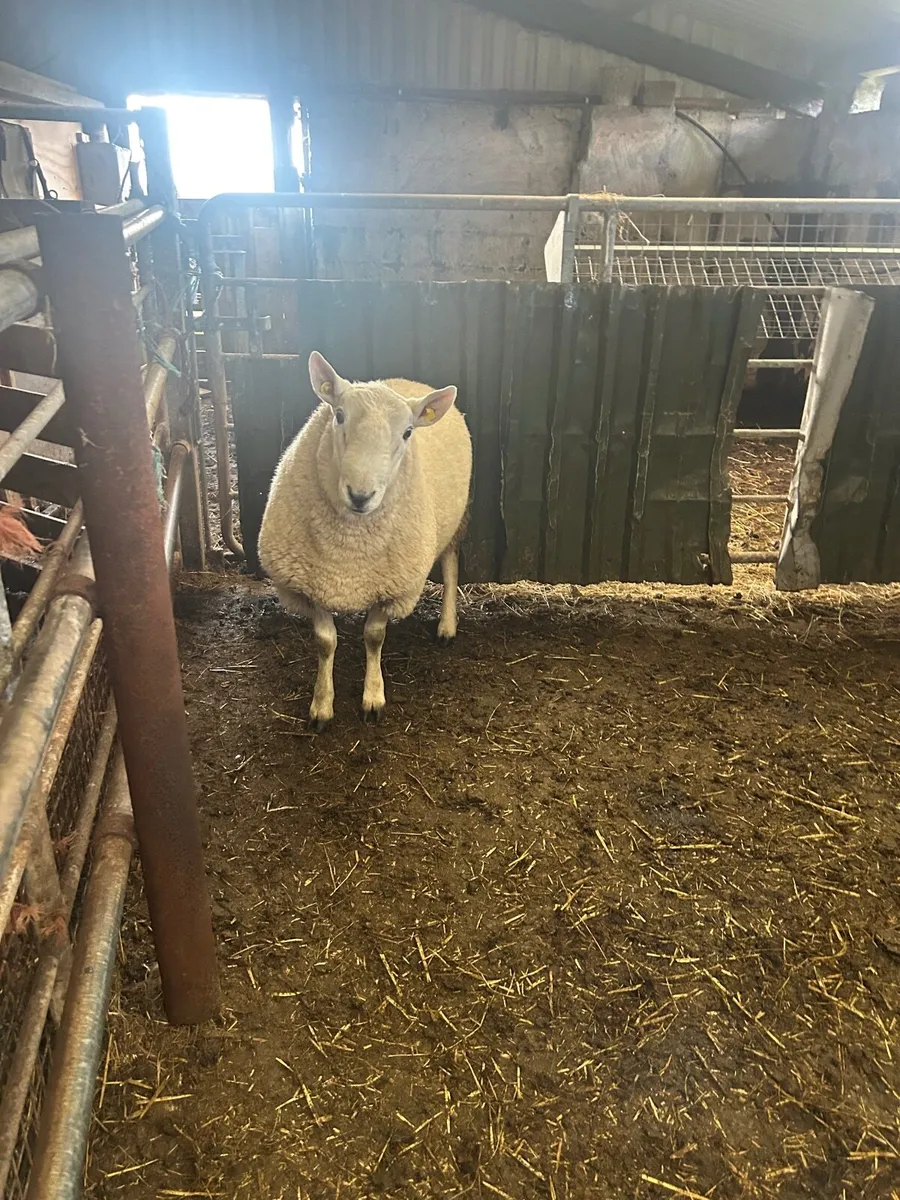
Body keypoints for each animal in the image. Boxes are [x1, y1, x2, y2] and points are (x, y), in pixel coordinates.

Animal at [258, 351, 473, 730]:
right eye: (339, 415)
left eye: (407, 432)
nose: (360, 496)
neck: (349, 551)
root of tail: (411, 382)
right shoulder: (311, 583)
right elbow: (325, 642)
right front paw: (322, 706)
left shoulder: (390, 587)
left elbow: (374, 638)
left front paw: (373, 698)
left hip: (454, 520)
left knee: (449, 567)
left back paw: (447, 626)